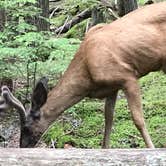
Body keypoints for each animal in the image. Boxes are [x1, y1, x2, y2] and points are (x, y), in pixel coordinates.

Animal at [0, 2, 166, 148]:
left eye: (26, 127)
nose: (22, 145)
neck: (87, 77)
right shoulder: (112, 87)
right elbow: (108, 119)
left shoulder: (127, 76)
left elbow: (138, 120)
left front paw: (151, 149)